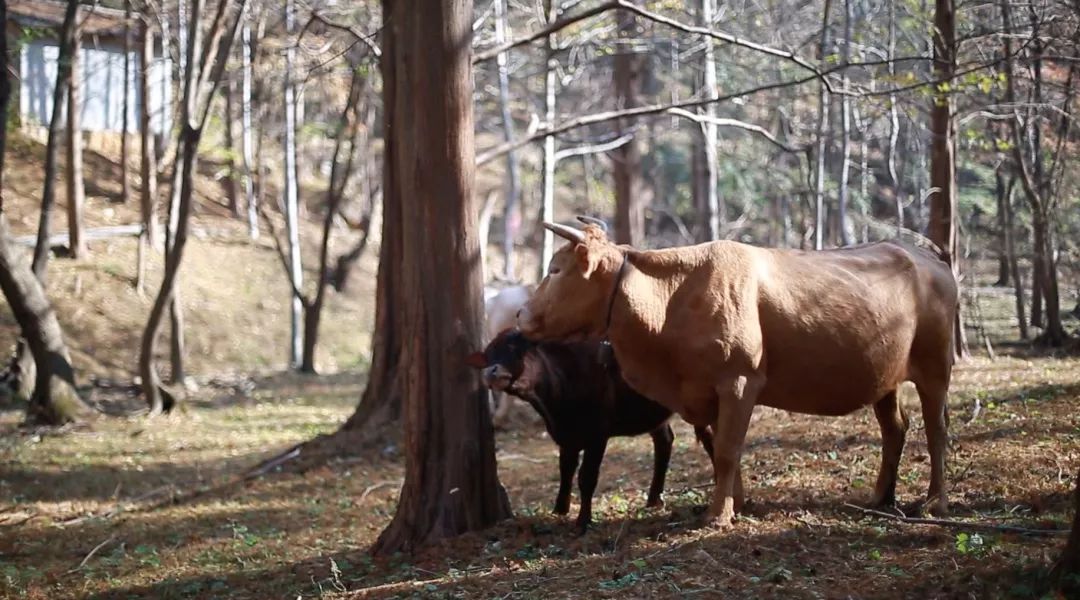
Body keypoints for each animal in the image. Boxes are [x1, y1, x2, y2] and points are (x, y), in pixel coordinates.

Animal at [466, 330, 712, 533]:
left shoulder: (597, 435)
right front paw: (560, 509)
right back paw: (654, 499)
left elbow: (587, 476)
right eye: (488, 355)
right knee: (664, 441)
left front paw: (583, 520)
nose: (490, 372)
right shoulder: (566, 436)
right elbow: (565, 470)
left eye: (515, 348)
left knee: (708, 437)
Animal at [518, 219, 959, 524]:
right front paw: (738, 504)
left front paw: (719, 516)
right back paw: (881, 496)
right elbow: (720, 451)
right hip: (884, 374)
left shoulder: (739, 381)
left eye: (555, 270)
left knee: (936, 429)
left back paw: (935, 501)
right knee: (895, 428)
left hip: (935, 365)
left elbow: (729, 450)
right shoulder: (705, 391)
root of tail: (928, 257)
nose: (520, 314)